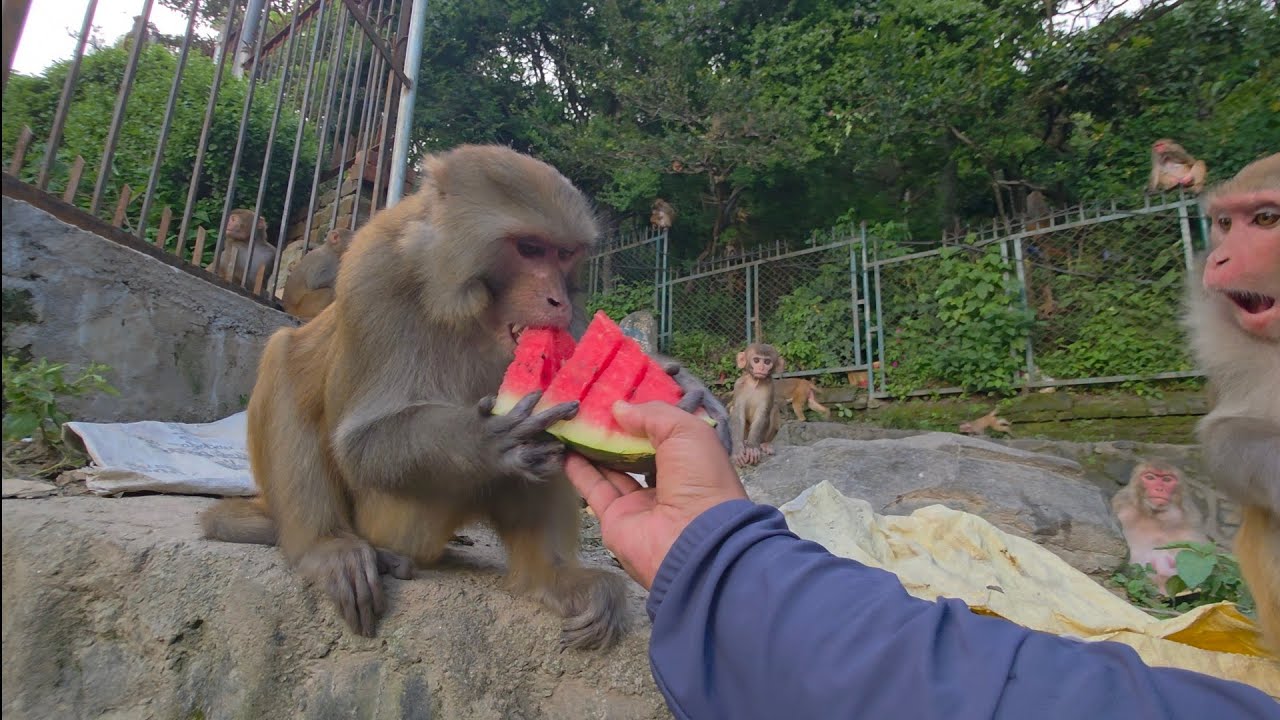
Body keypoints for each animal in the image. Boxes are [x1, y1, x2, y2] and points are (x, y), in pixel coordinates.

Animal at [197, 145, 731, 649]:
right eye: (530, 248)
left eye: (563, 255)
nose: (557, 299)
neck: (459, 300)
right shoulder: (374, 272)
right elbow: (359, 442)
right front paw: (485, 440)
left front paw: (683, 384)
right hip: (384, 518)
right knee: (286, 359)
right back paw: (328, 546)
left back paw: (551, 577)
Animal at [1111, 462, 1209, 595]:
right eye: (1150, 478)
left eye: (1167, 480)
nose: (1159, 489)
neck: (1156, 517)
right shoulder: (1121, 508)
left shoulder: (1192, 520)